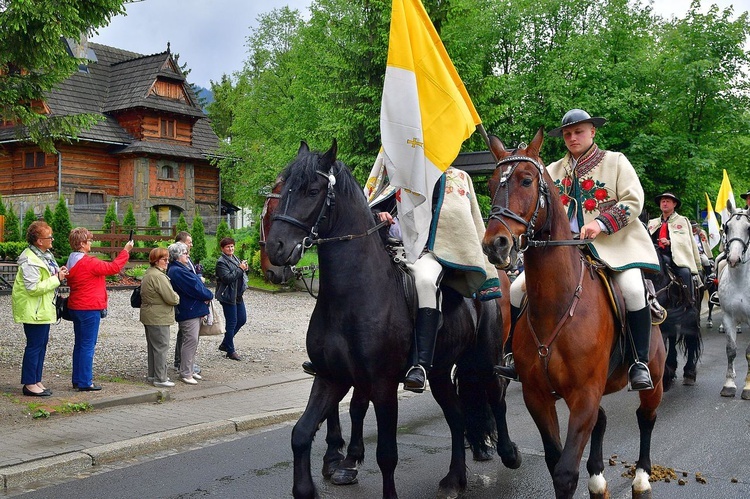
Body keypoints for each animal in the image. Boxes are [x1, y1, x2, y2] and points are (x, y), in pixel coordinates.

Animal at [266, 141, 524, 499]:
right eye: (283, 188)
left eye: (313, 190)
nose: (276, 249)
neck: (350, 298)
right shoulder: (331, 376)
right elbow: (302, 433)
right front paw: (315, 481)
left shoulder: (383, 384)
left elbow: (386, 453)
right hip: (441, 371)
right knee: (457, 416)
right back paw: (454, 479)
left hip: (485, 359)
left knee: (497, 398)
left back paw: (509, 454)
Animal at [482, 130, 664, 499]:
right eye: (491, 184)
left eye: (526, 180)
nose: (495, 244)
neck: (557, 307)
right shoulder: (538, 396)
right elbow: (556, 461)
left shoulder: (584, 394)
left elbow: (565, 472)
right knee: (604, 420)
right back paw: (598, 476)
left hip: (654, 379)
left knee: (646, 417)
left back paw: (641, 476)